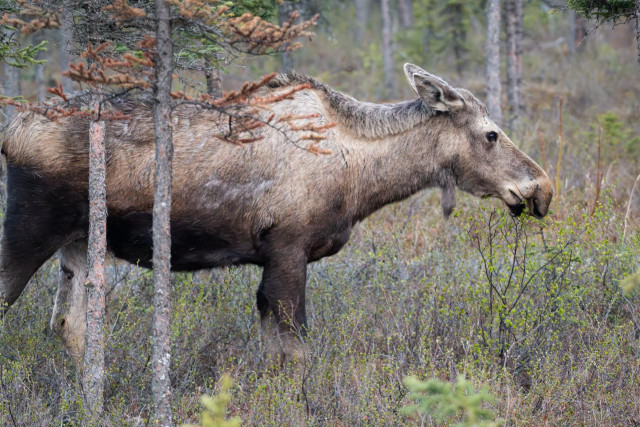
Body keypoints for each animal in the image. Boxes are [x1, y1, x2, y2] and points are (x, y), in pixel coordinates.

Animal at [0, 64, 553, 365]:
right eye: (491, 134)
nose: (542, 188)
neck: (361, 178)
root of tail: (11, 131)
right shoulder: (288, 249)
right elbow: (297, 351)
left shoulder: (271, 262)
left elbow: (274, 353)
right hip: (31, 226)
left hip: (77, 242)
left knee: (67, 326)